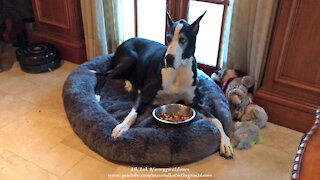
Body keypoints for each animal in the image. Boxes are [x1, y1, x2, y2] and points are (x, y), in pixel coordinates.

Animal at [97, 12, 232, 159]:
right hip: (129, 58)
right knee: (104, 77)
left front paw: (225, 142)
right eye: (168, 38)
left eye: (183, 40)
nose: (169, 58)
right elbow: (133, 113)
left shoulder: (193, 102)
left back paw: (128, 84)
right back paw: (99, 94)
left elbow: (217, 120)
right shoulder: (145, 94)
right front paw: (122, 126)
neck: (178, 70)